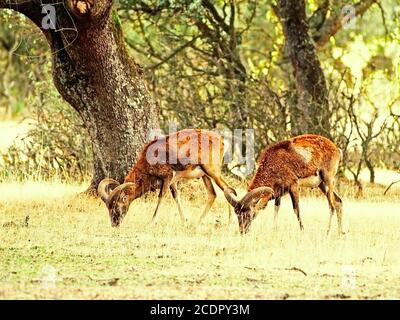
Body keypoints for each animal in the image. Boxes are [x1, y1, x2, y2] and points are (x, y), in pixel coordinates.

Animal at [98, 129, 233, 226]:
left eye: (116, 205)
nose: (114, 224)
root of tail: (221, 141)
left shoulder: (167, 178)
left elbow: (161, 197)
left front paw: (151, 222)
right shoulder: (172, 183)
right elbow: (176, 197)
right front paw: (184, 221)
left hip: (213, 172)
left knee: (227, 188)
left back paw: (229, 222)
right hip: (205, 176)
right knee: (213, 194)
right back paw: (199, 222)